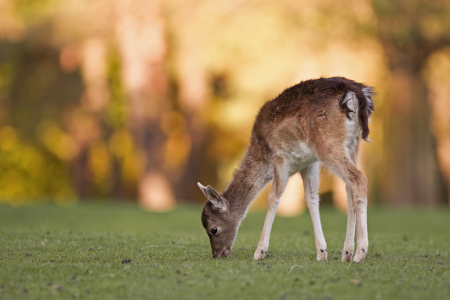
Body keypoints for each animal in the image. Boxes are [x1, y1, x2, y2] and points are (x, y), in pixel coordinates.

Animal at [199, 77, 374, 262]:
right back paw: (346, 253)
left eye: (213, 229)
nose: (216, 254)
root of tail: (357, 92)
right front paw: (321, 253)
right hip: (353, 145)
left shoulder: (279, 158)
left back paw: (360, 253)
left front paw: (259, 252)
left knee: (359, 177)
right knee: (349, 187)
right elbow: (311, 198)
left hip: (327, 143)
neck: (263, 156)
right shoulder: (308, 163)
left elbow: (273, 198)